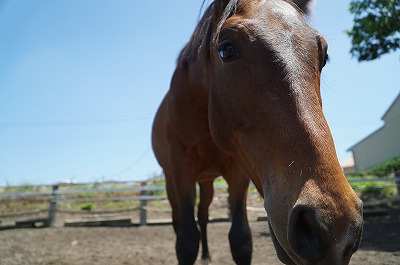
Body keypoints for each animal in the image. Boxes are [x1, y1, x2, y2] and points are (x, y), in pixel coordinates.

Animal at [152, 1, 364, 262]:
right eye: (226, 50)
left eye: (324, 55)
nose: (333, 225)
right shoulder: (182, 171)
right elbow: (186, 240)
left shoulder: (238, 173)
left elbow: (241, 238)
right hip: (172, 180)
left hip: (207, 181)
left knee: (203, 215)